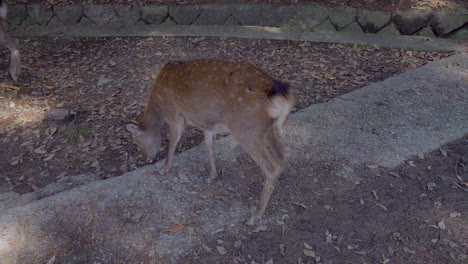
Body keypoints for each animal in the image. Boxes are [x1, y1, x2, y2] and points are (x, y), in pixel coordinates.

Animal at [126, 58, 294, 224]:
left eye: (137, 142)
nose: (146, 159)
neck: (158, 103)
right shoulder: (206, 123)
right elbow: (209, 144)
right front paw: (212, 175)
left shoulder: (174, 115)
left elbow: (173, 142)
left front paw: (164, 169)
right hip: (264, 130)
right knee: (283, 154)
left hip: (246, 130)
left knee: (272, 168)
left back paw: (255, 216)